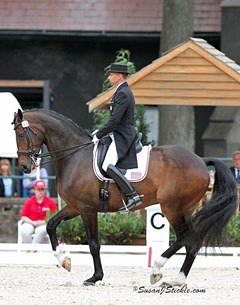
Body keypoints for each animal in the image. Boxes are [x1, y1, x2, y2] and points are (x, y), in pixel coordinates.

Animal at [12, 108, 237, 284]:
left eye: (21, 133)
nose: (24, 167)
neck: (75, 156)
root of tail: (201, 161)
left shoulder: (87, 209)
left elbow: (94, 244)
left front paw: (96, 277)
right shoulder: (75, 207)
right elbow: (51, 225)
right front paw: (64, 261)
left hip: (172, 207)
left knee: (185, 238)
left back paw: (158, 269)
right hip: (186, 208)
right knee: (193, 242)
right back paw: (176, 280)